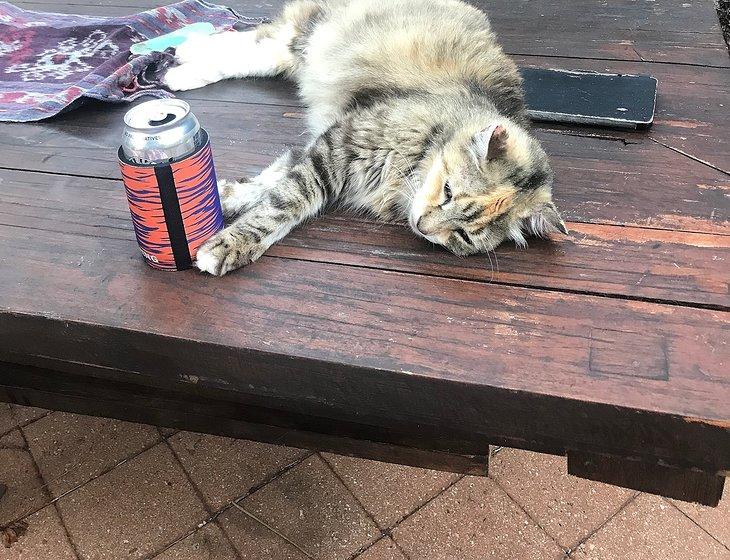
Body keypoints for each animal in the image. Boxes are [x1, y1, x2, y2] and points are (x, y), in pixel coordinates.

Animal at [162, 0, 564, 276]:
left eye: (463, 236)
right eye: (448, 191)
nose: (422, 226)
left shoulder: (321, 146)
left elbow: (271, 182)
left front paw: (224, 196)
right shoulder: (339, 145)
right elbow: (285, 202)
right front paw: (228, 243)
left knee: (258, 49)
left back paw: (184, 63)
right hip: (311, 33)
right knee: (256, 37)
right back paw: (182, 59)